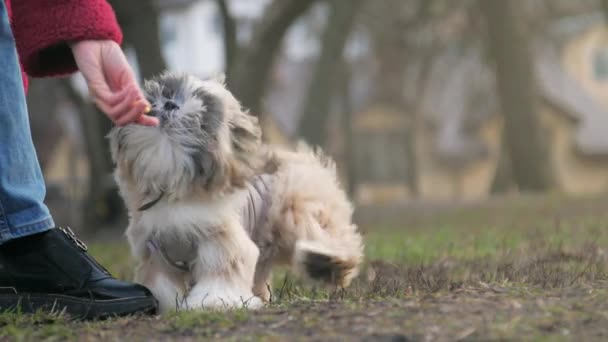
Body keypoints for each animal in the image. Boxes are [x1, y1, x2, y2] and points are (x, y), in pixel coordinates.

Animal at [107, 73, 364, 312]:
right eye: (165, 93)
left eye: (203, 107)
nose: (170, 104)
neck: (176, 188)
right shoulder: (155, 251)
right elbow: (161, 284)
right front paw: (167, 306)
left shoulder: (219, 240)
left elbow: (221, 272)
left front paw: (214, 302)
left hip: (293, 206)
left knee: (328, 235)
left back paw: (324, 258)